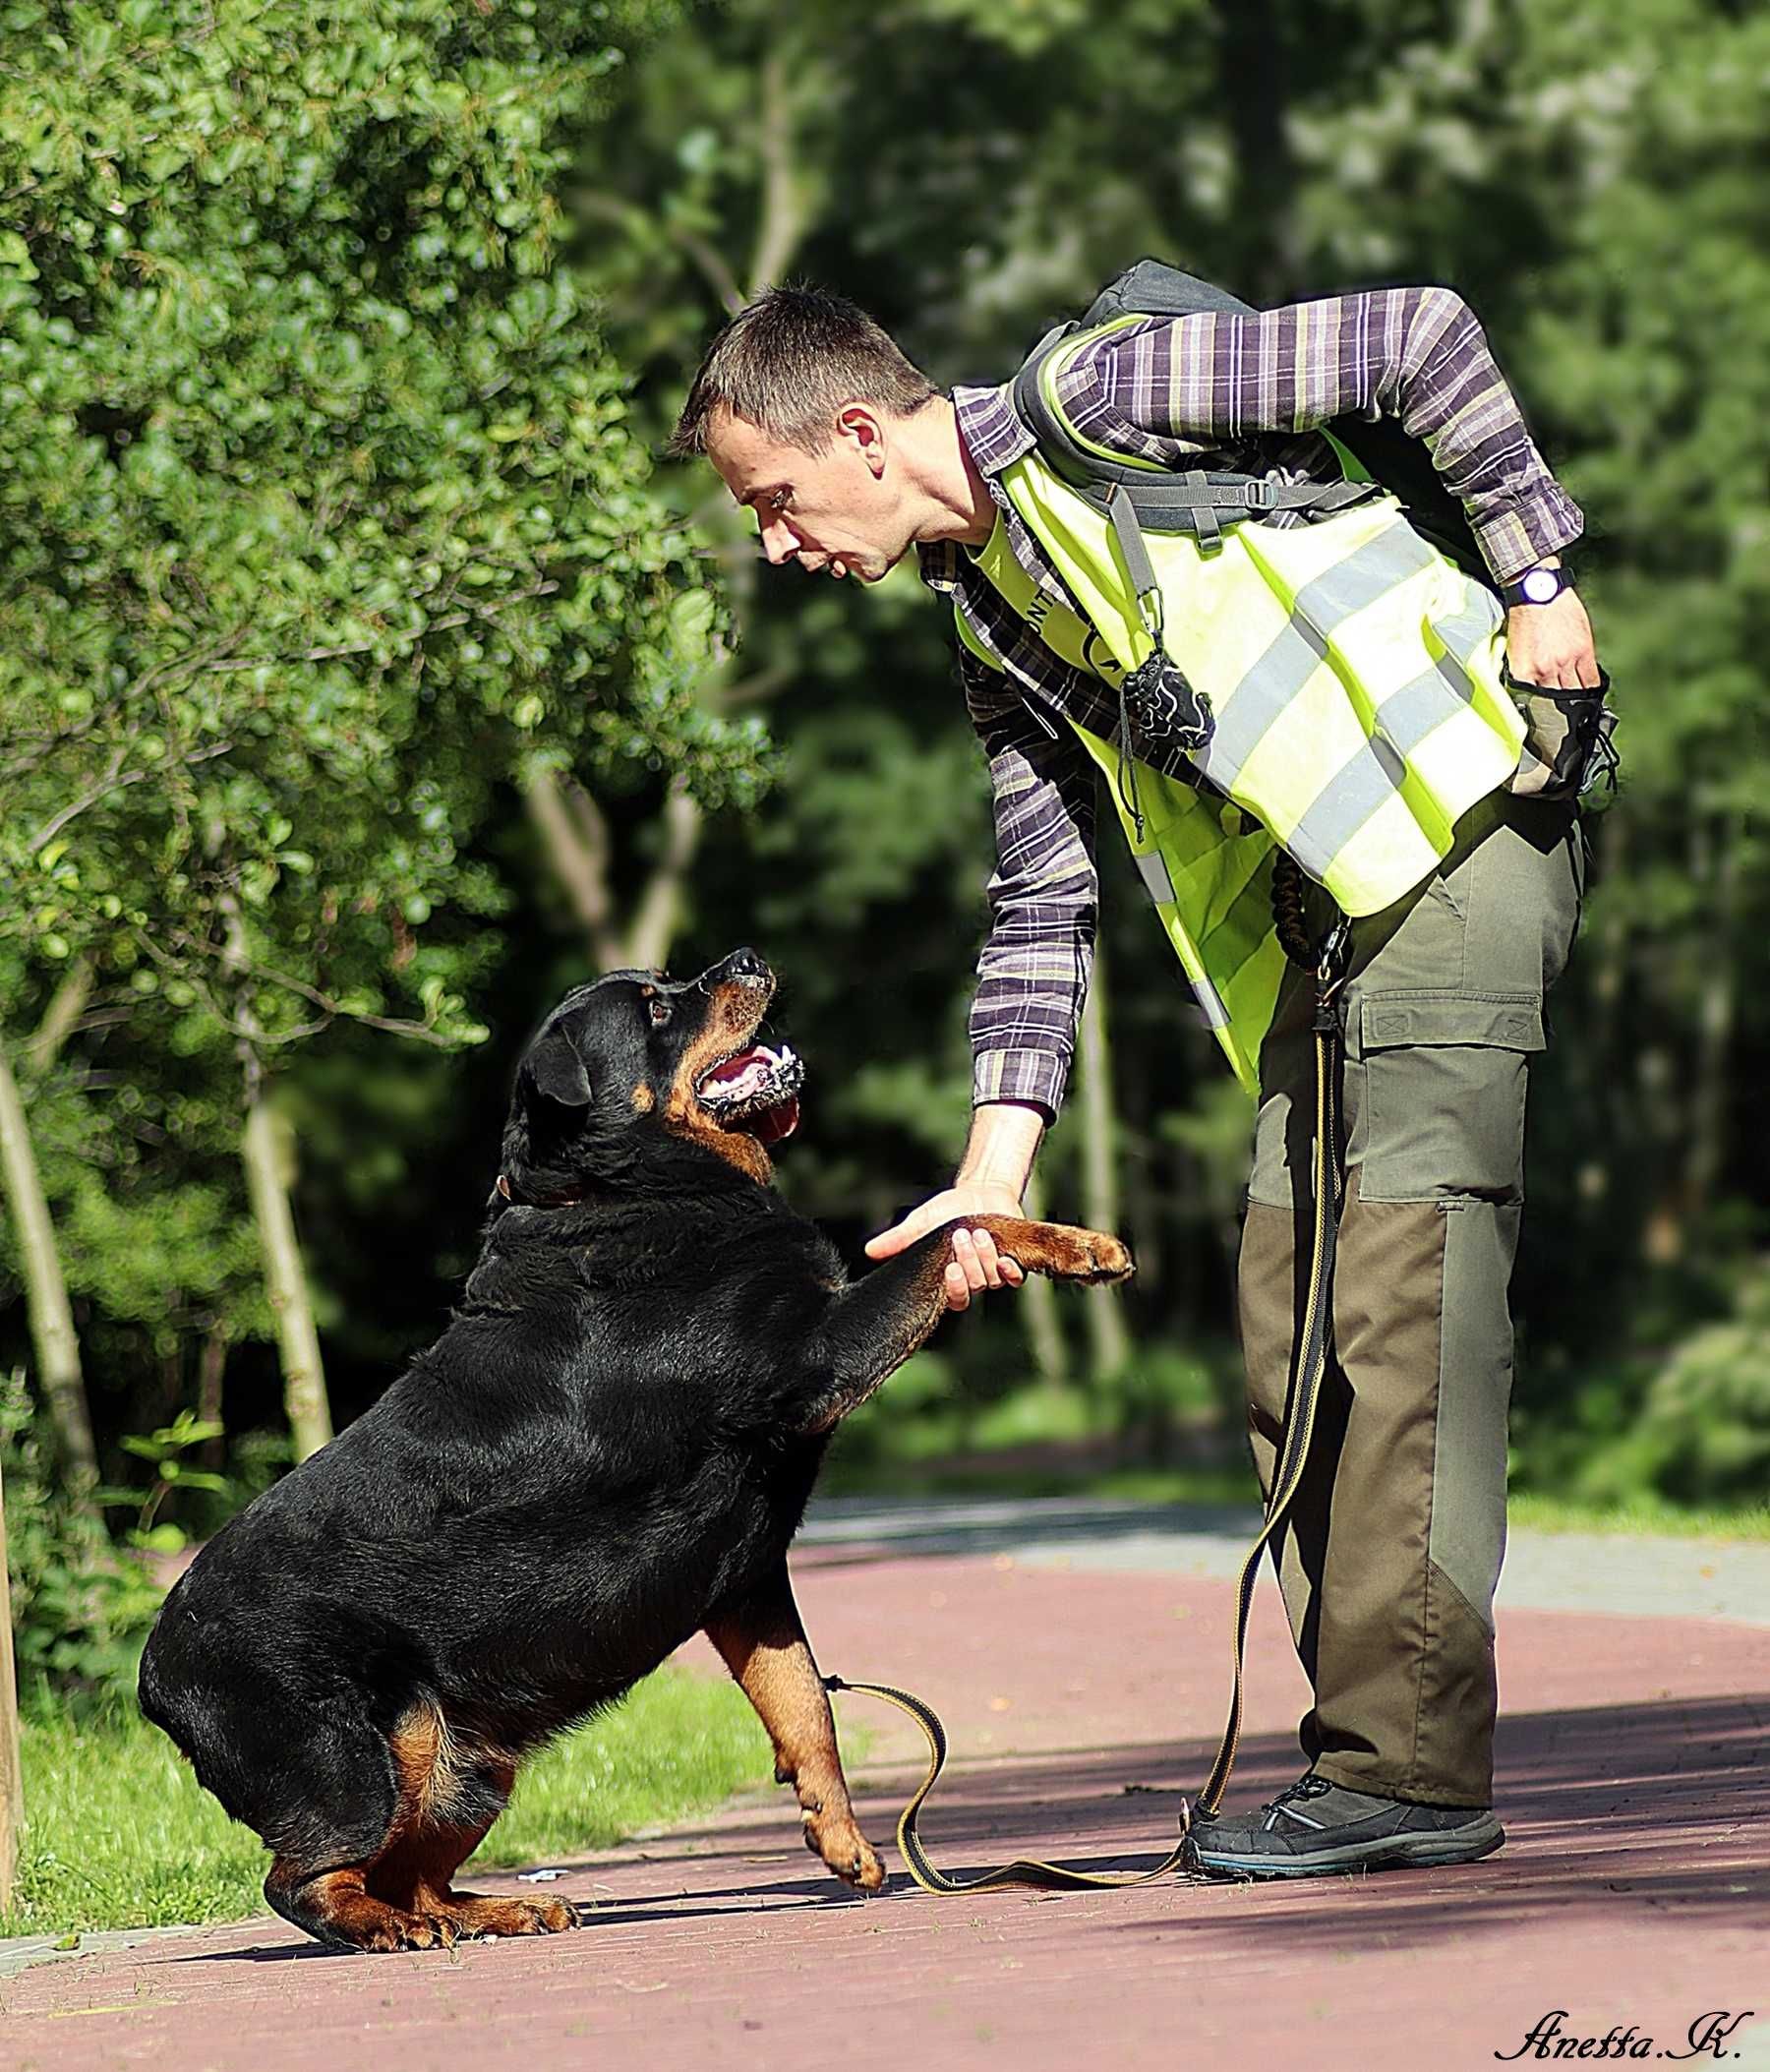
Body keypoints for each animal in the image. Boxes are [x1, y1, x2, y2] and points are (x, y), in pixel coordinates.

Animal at [139, 949, 1136, 1947]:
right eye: (658, 1006)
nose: (746, 958)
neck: (629, 1192)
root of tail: (154, 1676)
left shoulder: (744, 1574)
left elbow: (804, 1702)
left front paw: (840, 1836)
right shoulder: (820, 1352)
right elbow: (950, 1232)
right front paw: (1078, 1243)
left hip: (469, 1757)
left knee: (411, 1871)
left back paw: (502, 1906)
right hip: (359, 1752)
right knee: (305, 1874)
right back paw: (385, 1925)